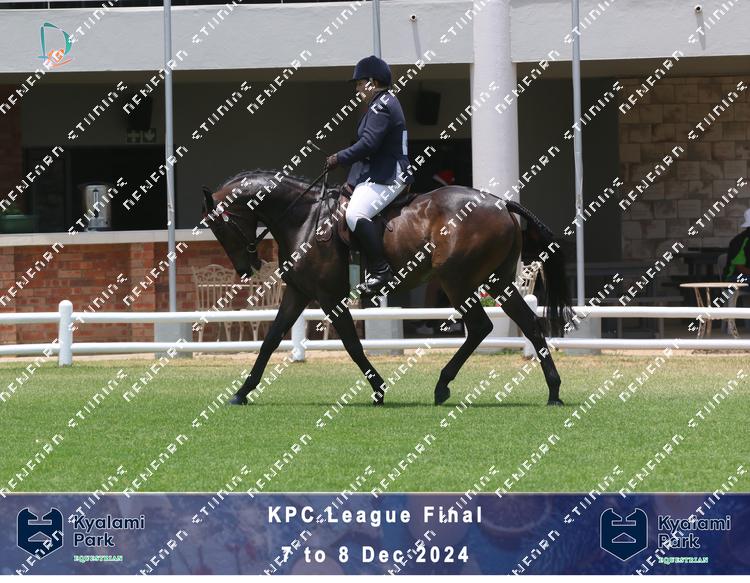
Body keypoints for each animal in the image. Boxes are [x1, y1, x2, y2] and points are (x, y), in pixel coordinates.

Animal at [200, 169, 575, 407]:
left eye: (220, 227)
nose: (245, 268)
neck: (304, 219)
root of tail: (499, 202)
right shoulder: (298, 293)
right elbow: (271, 340)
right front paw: (242, 391)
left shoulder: (329, 297)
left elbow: (352, 345)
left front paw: (379, 390)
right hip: (496, 281)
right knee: (529, 324)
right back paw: (553, 392)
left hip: (457, 280)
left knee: (481, 325)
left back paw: (443, 385)